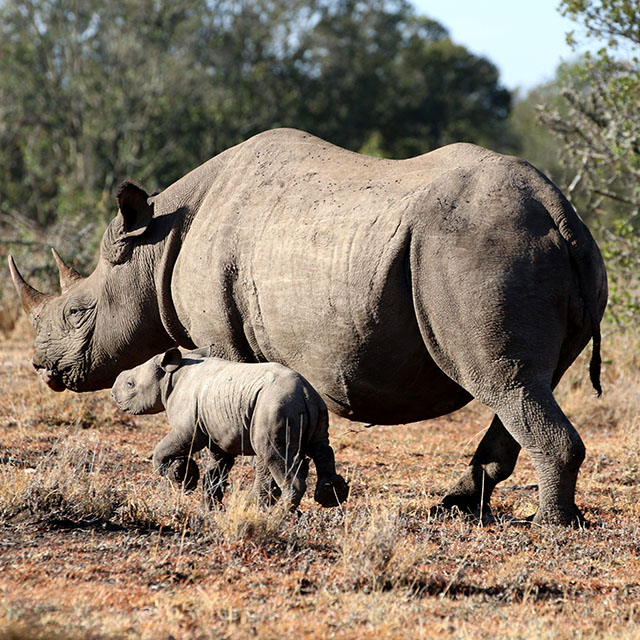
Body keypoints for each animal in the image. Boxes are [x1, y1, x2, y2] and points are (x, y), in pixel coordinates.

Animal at [111, 347, 349, 510]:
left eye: (130, 384)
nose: (113, 393)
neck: (169, 377)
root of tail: (306, 393)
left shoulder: (188, 430)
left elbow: (162, 450)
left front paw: (182, 476)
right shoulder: (219, 435)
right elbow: (216, 471)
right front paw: (207, 509)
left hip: (275, 405)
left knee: (273, 455)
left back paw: (278, 515)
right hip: (312, 405)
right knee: (319, 447)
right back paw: (329, 497)